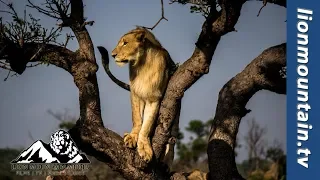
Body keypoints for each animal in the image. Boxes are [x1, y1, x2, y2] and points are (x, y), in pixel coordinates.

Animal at [110, 27, 176, 165]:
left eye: (125, 43)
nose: (112, 55)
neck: (142, 66)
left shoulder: (154, 98)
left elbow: (147, 125)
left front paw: (145, 148)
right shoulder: (135, 93)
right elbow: (136, 118)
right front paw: (131, 137)